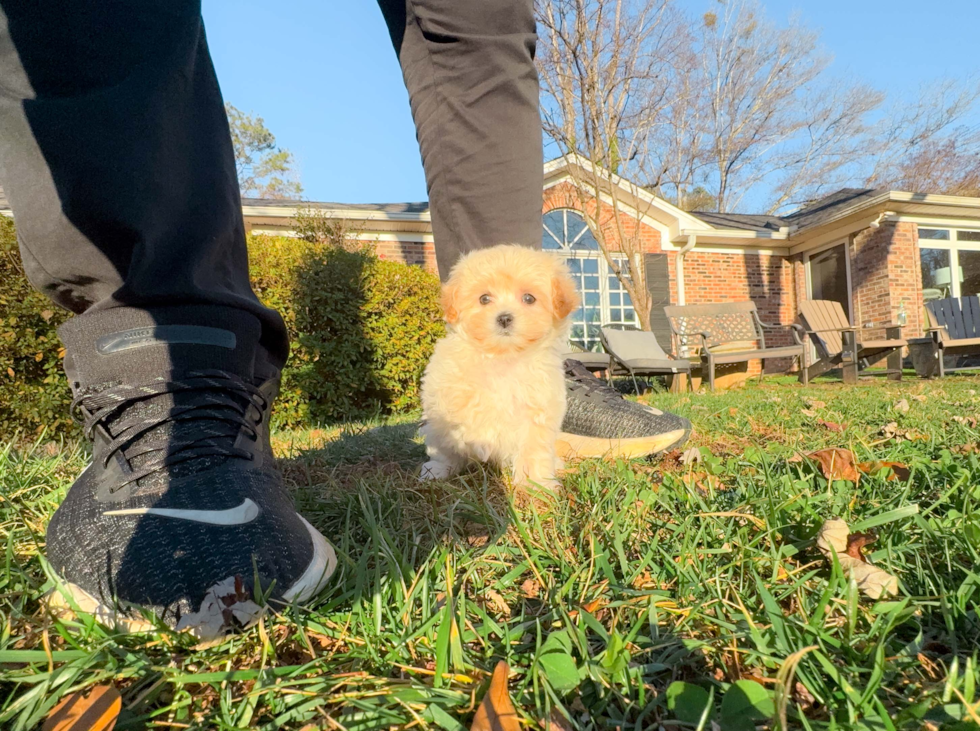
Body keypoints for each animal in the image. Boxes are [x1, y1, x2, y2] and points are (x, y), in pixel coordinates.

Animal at [418, 246, 580, 492]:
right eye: (484, 298)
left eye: (529, 298)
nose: (504, 318)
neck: (502, 356)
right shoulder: (443, 402)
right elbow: (448, 440)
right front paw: (440, 467)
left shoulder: (537, 415)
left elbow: (533, 451)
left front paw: (536, 483)